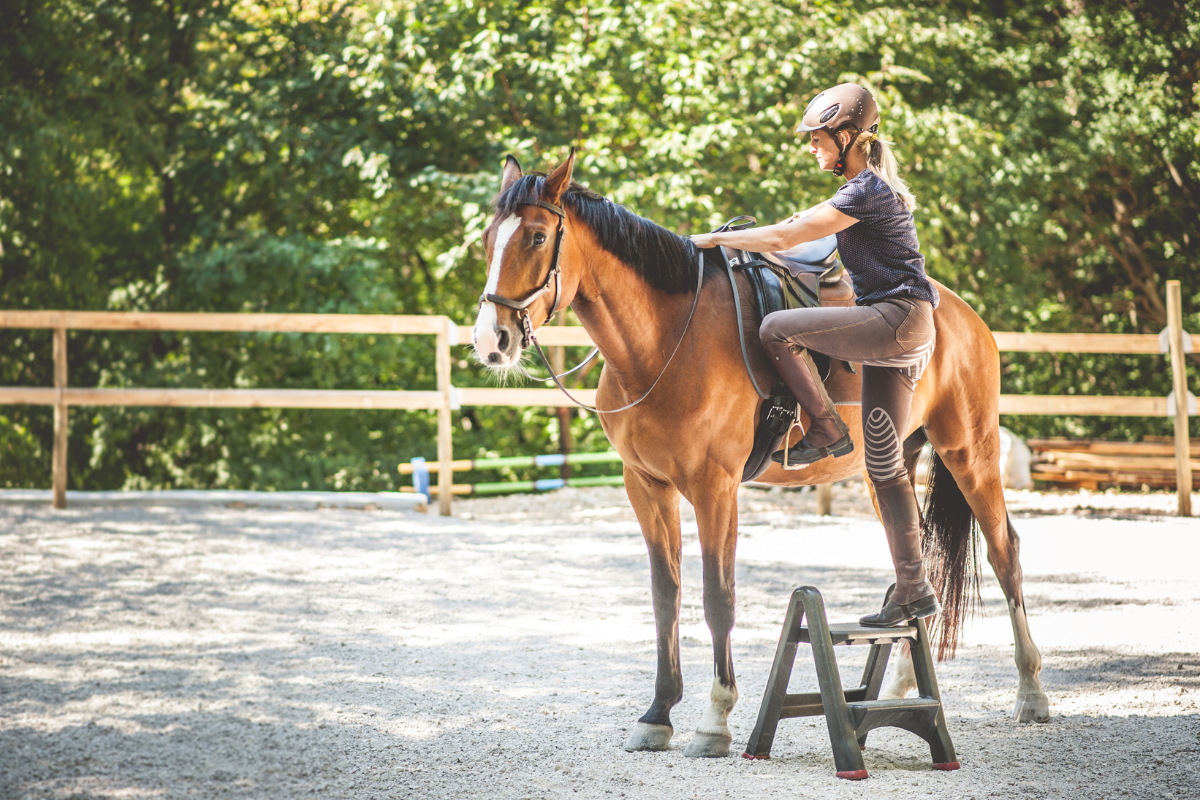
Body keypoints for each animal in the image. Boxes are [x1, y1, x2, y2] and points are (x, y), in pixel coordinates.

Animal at [471, 151, 1051, 758]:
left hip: (970, 452)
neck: (664, 341)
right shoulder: (645, 486)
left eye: (537, 237)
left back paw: (1031, 692)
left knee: (1004, 552)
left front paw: (714, 719)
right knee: (913, 549)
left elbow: (717, 597)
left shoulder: (714, 488)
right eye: (488, 239)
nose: (492, 340)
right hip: (888, 463)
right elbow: (665, 595)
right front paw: (657, 715)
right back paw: (902, 681)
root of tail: (959, 313)